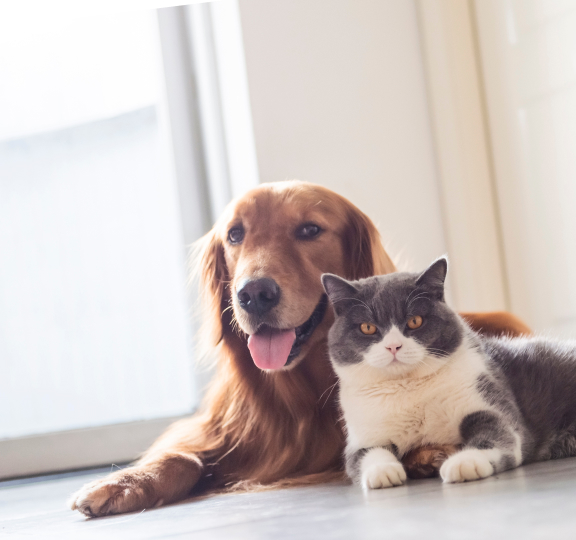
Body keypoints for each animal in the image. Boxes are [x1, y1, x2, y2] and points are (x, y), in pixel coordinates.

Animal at [68, 179, 532, 516]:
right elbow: (183, 456)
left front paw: (431, 451)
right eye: (235, 234)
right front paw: (123, 482)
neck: (300, 397)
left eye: (310, 230)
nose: (253, 294)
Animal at [322, 258, 576, 490]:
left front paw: (464, 462)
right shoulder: (362, 435)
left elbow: (498, 435)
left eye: (415, 321)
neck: (408, 388)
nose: (393, 346)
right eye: (367, 327)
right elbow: (366, 454)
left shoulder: (489, 402)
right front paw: (382, 471)